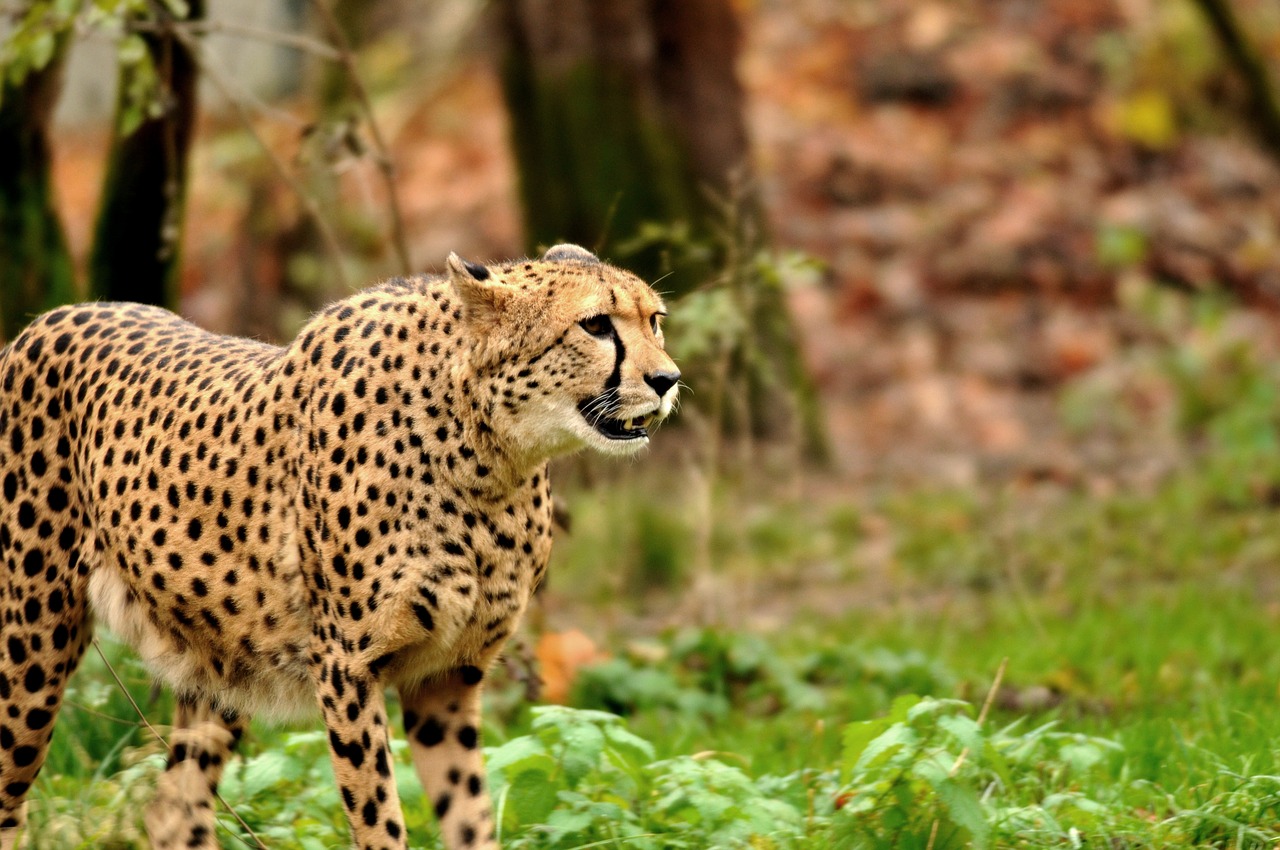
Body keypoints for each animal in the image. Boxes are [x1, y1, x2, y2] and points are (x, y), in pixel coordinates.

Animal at [0, 241, 680, 844]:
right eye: (595, 325)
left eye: (655, 320)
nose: (668, 379)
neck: (488, 460)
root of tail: (48, 319)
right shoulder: (346, 667)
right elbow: (378, 818)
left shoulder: (449, 676)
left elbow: (469, 816)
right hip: (31, 647)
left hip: (222, 655)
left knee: (173, 808)